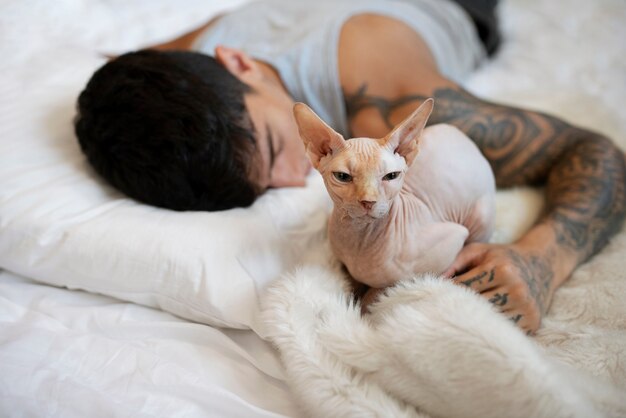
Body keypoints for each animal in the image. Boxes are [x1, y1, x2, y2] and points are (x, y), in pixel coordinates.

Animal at [292, 99, 492, 292]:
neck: (358, 245)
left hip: (480, 216)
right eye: (342, 176)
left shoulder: (454, 235)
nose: (368, 201)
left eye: (391, 176)